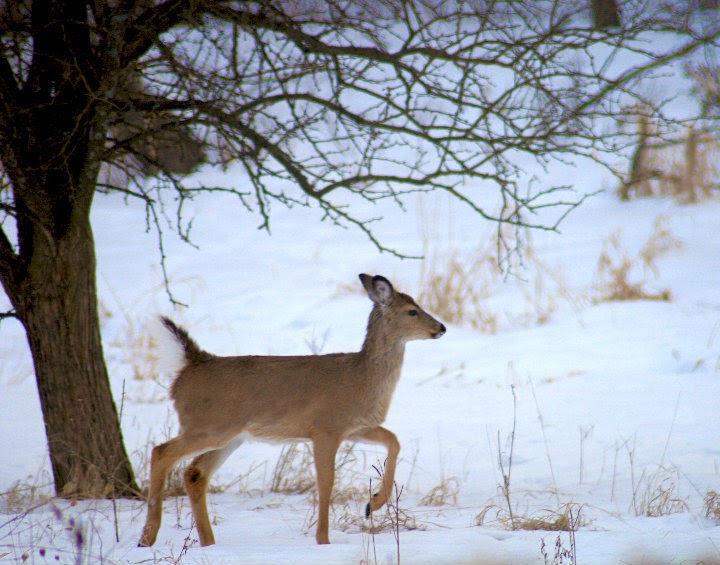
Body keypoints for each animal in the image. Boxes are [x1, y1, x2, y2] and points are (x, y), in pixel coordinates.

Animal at [138, 274, 446, 548]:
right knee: (161, 452)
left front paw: (373, 504)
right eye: (412, 311)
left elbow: (394, 440)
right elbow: (326, 482)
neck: (362, 379)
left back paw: (208, 543)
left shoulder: (356, 427)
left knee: (195, 473)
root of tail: (190, 364)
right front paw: (323, 540)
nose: (441, 327)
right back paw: (147, 538)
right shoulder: (325, 428)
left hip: (230, 435)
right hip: (208, 427)